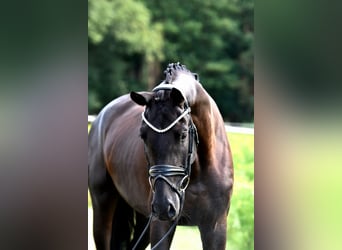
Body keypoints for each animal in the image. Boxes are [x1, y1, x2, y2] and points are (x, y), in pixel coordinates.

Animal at [87, 61, 234, 249]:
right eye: (143, 135)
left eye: (183, 134)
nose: (164, 205)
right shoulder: (160, 224)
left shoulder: (215, 227)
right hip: (104, 207)